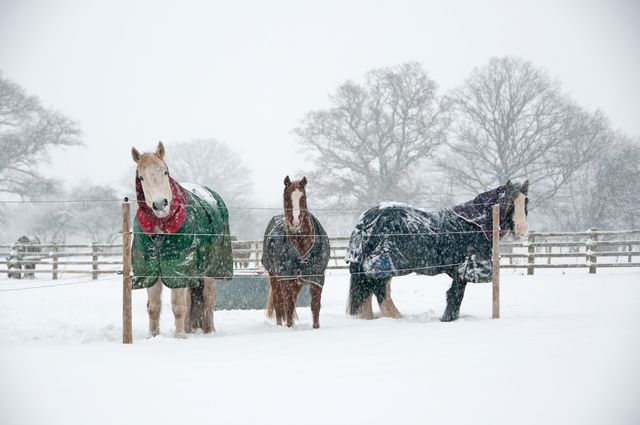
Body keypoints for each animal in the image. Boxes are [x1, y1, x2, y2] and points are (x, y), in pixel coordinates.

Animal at [130, 142, 233, 337]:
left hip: (212, 269)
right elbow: (153, 308)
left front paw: (179, 338)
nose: (160, 204)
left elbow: (178, 307)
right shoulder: (150, 270)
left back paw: (209, 331)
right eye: (141, 177)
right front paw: (153, 336)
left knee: (208, 301)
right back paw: (188, 329)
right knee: (190, 300)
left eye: (165, 172)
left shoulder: (178, 268)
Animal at [262, 176, 330, 328]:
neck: (302, 247)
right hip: (274, 277)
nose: (296, 221)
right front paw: (289, 327)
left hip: (297, 283)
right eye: (286, 196)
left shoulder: (317, 277)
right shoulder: (286, 278)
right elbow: (288, 305)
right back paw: (280, 325)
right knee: (279, 304)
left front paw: (316, 327)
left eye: (303, 196)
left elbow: (315, 305)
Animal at [346, 180, 529, 321]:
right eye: (508, 202)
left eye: (526, 202)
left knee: (369, 293)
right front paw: (448, 319)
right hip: (383, 266)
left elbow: (455, 296)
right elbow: (455, 295)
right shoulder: (462, 269)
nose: (522, 230)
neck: (472, 224)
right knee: (380, 293)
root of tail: (366, 219)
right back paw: (398, 318)